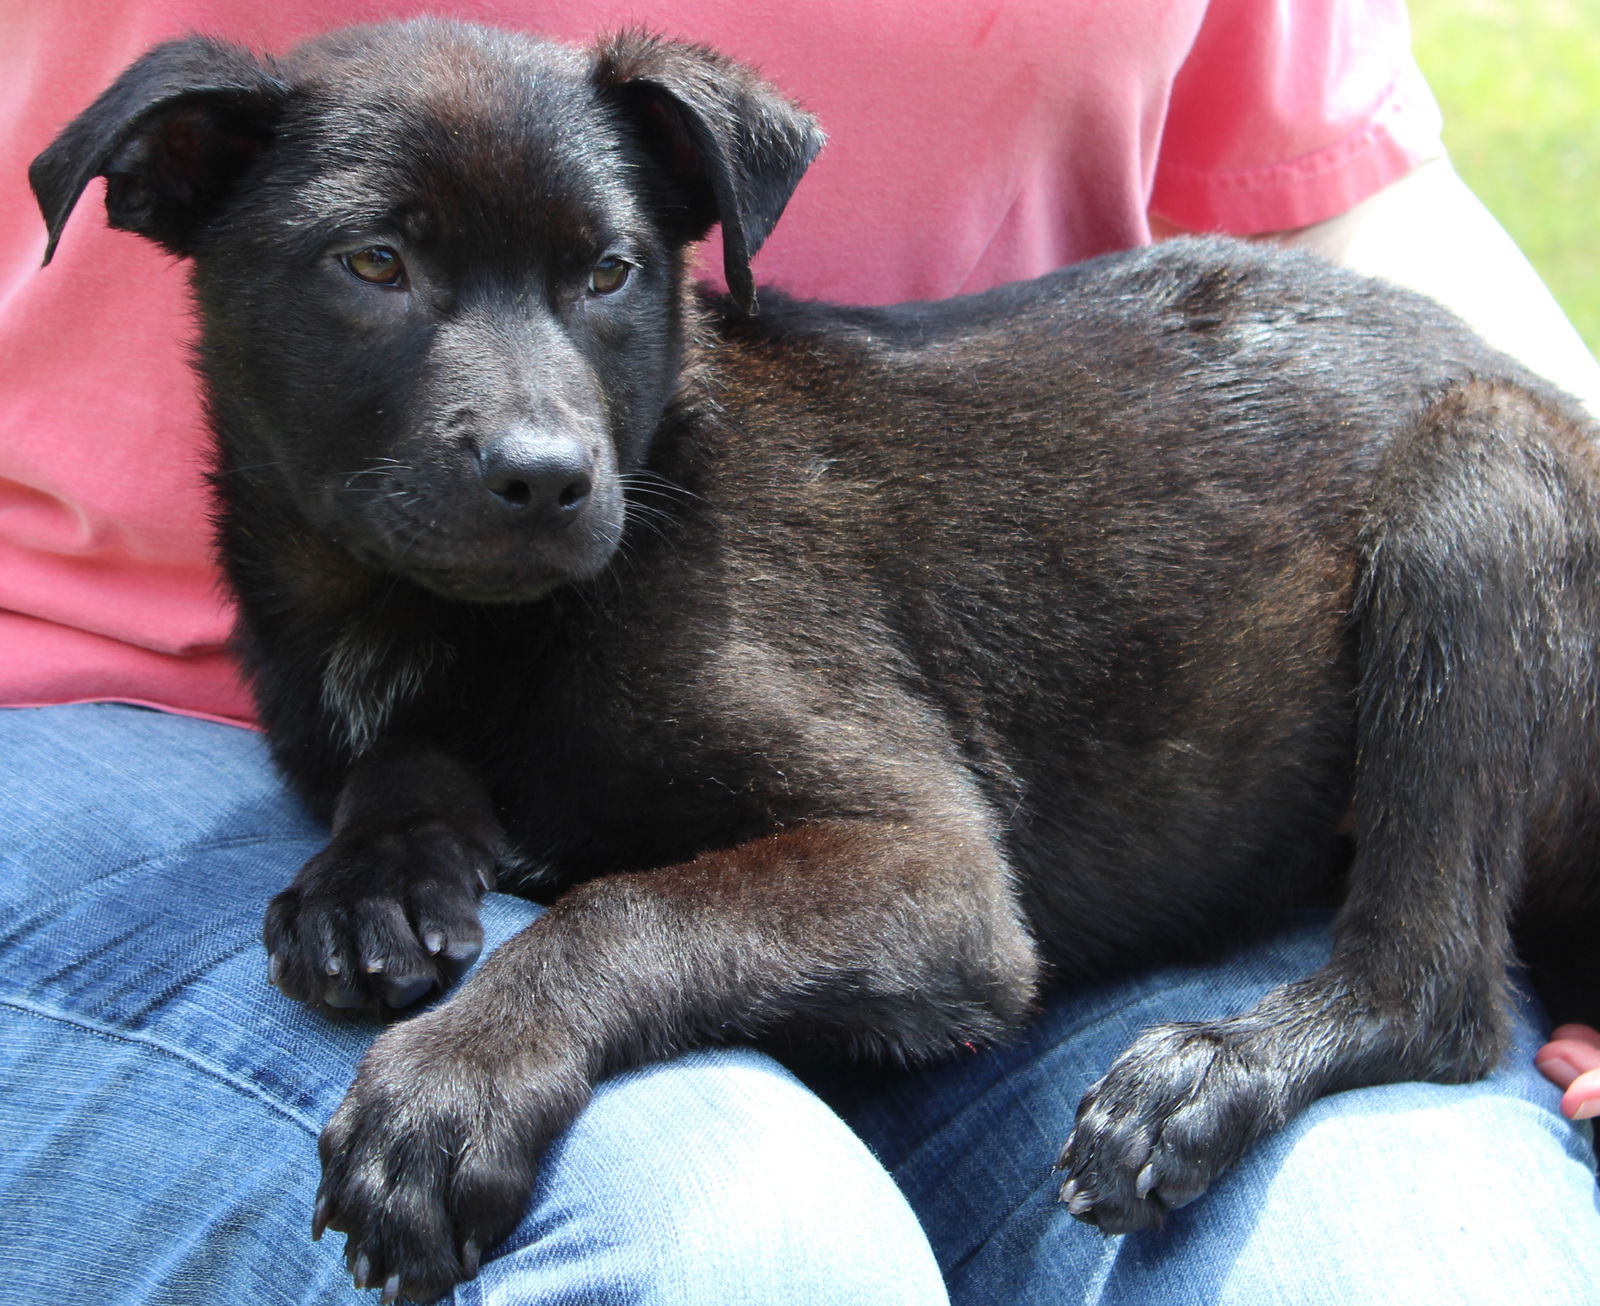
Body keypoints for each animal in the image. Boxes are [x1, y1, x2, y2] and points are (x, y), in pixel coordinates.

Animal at [31, 20, 1600, 1306]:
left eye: (610, 273)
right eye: (373, 263)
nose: (547, 480)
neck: (443, 617)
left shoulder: (934, 869)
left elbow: (625, 909)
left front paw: (457, 1081)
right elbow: (399, 772)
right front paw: (372, 883)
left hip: (1478, 479)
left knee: (1436, 992)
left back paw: (1215, 1072)